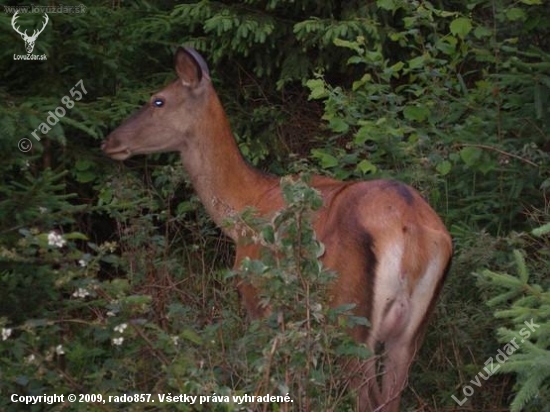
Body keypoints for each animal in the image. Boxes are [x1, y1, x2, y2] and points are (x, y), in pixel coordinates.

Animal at [102, 46, 452, 410]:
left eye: (157, 100)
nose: (109, 142)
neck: (246, 210)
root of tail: (413, 230)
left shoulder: (258, 296)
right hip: (408, 334)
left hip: (350, 316)